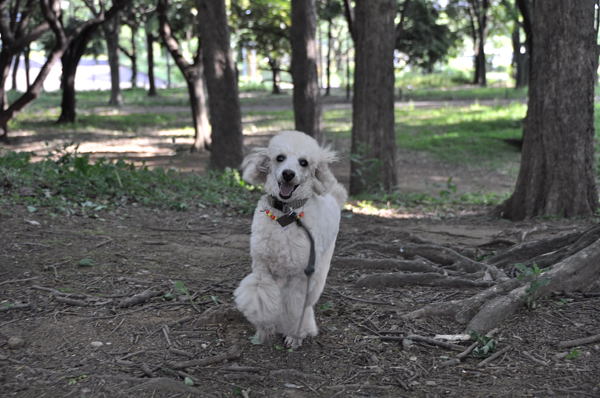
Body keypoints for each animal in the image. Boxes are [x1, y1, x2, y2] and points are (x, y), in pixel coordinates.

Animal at [234, 131, 346, 348]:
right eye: (280, 158)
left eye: (304, 162)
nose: (288, 174)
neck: (286, 214)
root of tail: (334, 198)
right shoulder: (262, 267)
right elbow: (261, 294)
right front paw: (264, 329)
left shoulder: (300, 275)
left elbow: (295, 306)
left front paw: (294, 335)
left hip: (319, 268)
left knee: (308, 303)